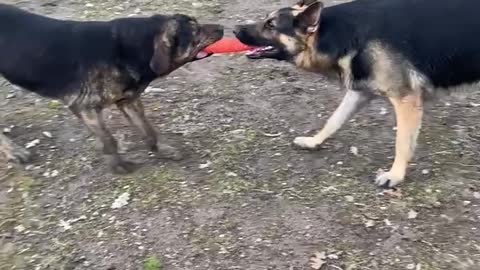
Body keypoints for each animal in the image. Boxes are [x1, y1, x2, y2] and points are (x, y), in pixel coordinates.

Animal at [0, 3, 224, 173]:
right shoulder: (85, 108)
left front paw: (160, 150)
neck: (128, 50)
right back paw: (14, 151)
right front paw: (118, 165)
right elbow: (109, 140)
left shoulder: (130, 101)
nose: (222, 27)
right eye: (196, 31)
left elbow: (148, 130)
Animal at [234, 0, 480, 188]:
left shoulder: (406, 100)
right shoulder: (359, 92)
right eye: (267, 20)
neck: (339, 35)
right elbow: (334, 120)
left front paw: (395, 175)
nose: (235, 29)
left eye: (271, 25)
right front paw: (314, 141)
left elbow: (401, 142)